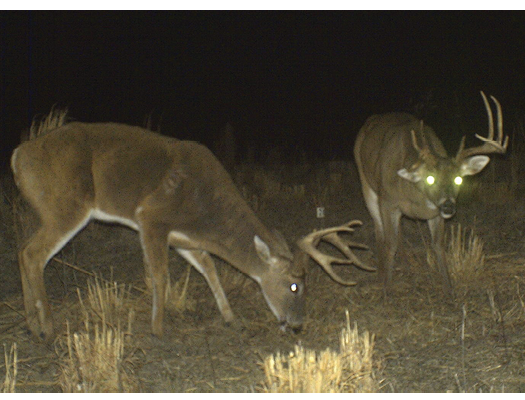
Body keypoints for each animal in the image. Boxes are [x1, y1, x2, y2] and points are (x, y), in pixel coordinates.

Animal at [12, 122, 372, 340]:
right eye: (295, 285)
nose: (297, 325)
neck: (204, 212)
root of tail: (17, 157)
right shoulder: (151, 218)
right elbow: (160, 275)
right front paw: (158, 328)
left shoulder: (183, 238)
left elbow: (210, 268)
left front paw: (230, 317)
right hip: (66, 206)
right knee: (33, 254)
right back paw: (47, 327)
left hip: (50, 211)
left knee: (22, 250)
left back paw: (30, 323)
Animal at [354, 92, 506, 292]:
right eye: (430, 178)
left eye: (458, 179)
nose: (449, 207)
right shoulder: (387, 201)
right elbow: (390, 243)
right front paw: (386, 287)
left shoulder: (435, 214)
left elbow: (438, 245)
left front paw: (449, 289)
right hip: (366, 183)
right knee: (379, 229)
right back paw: (380, 273)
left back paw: (405, 262)